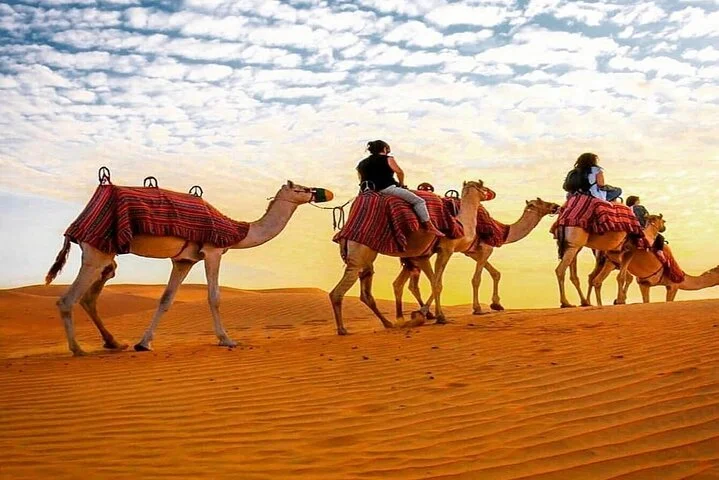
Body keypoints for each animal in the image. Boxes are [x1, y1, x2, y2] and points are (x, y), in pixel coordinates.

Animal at [46, 181, 332, 356]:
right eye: (302, 188)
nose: (324, 192)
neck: (236, 230)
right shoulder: (213, 251)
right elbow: (214, 297)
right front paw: (227, 339)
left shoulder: (184, 261)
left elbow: (166, 299)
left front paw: (143, 343)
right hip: (97, 252)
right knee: (68, 299)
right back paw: (78, 349)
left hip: (104, 252)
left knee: (90, 294)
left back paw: (114, 342)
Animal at [329, 181, 494, 335]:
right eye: (484, 188)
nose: (492, 193)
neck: (460, 224)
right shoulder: (445, 249)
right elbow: (437, 284)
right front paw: (437, 316)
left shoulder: (421, 256)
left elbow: (431, 282)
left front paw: (424, 314)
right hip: (360, 253)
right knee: (338, 292)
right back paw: (342, 329)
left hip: (366, 259)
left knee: (366, 292)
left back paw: (389, 323)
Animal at [393, 198, 560, 320]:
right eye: (541, 202)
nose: (556, 206)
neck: (503, 231)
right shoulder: (486, 248)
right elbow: (476, 279)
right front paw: (478, 308)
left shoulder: (472, 252)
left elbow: (495, 273)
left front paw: (496, 304)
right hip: (433, 252)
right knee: (430, 281)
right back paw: (426, 313)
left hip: (414, 257)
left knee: (401, 284)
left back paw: (413, 315)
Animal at [587, 215, 719, 304]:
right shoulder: (673, 286)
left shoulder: (645, 284)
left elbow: (646, 301)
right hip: (625, 254)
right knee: (620, 277)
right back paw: (618, 300)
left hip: (610, 260)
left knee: (596, 279)